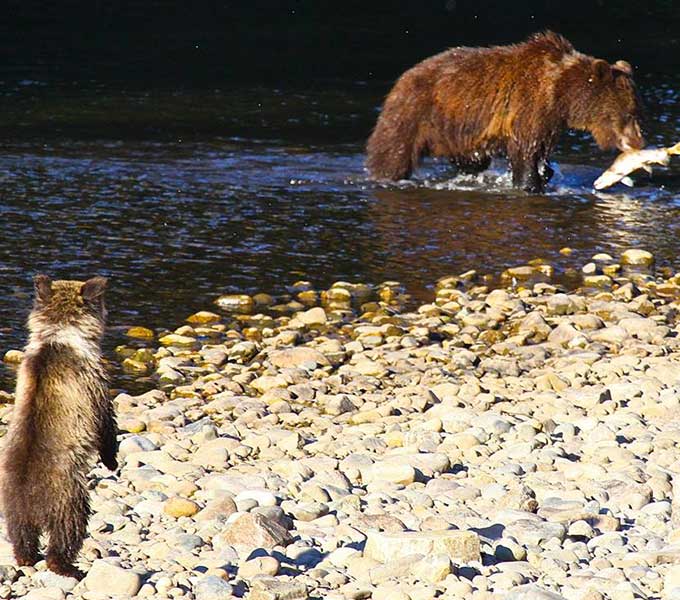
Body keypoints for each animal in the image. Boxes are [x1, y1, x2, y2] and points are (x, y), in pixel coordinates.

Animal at [366, 31, 644, 191]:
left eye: (636, 111)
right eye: (629, 113)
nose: (639, 141)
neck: (562, 94)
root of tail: (401, 79)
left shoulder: (550, 122)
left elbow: (541, 151)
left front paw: (545, 173)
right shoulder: (529, 106)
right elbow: (525, 152)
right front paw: (530, 183)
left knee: (473, 161)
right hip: (412, 115)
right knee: (392, 153)